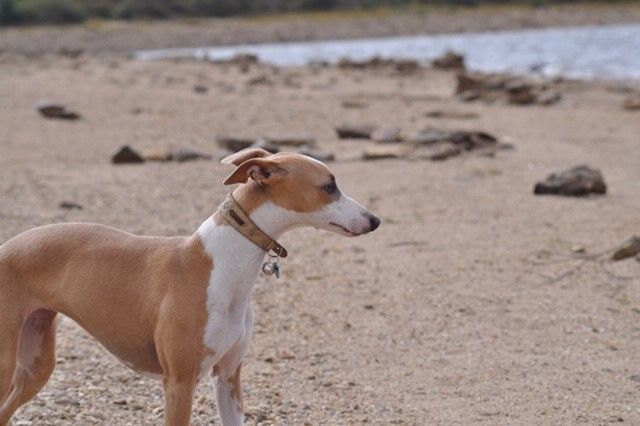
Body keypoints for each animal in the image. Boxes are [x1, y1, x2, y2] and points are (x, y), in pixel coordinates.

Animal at [0, 147, 380, 426]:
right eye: (329, 186)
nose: (375, 220)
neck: (223, 262)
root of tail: (7, 246)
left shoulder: (228, 377)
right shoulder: (179, 383)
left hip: (35, 363)